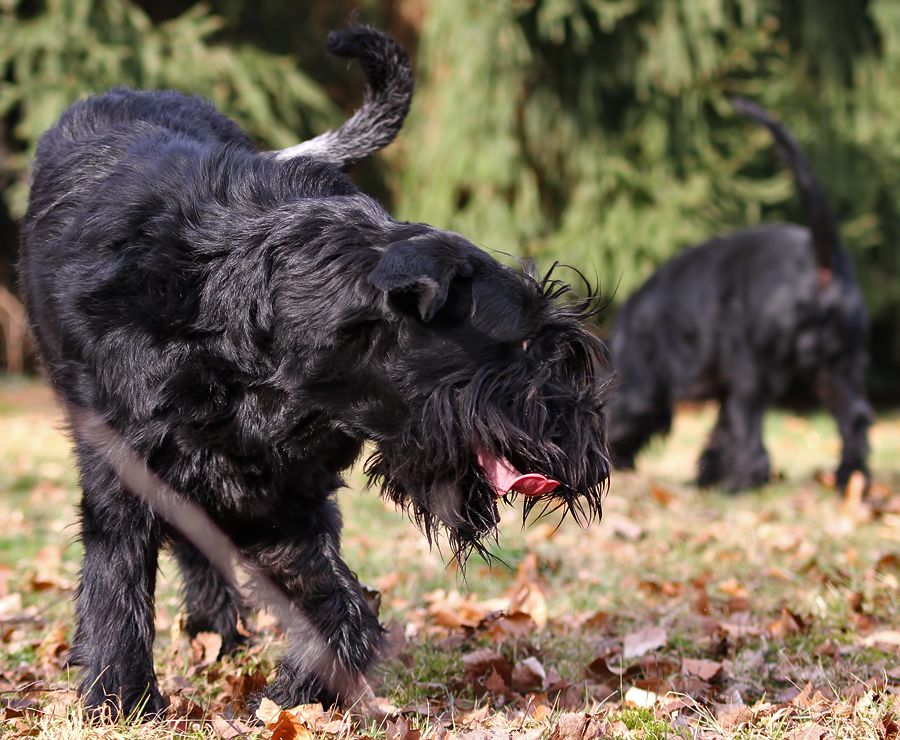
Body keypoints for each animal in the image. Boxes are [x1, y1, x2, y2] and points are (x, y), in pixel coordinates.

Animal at [17, 26, 608, 720]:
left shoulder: (282, 496)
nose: (593, 457)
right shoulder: (127, 472)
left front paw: (296, 693)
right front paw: (122, 699)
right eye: (523, 344)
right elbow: (118, 584)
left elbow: (340, 604)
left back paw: (217, 631)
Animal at [604, 97, 872, 492]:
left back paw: (742, 482)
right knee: (854, 416)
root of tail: (821, 257)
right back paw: (849, 479)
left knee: (751, 425)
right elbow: (721, 426)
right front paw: (707, 472)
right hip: (834, 365)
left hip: (757, 366)